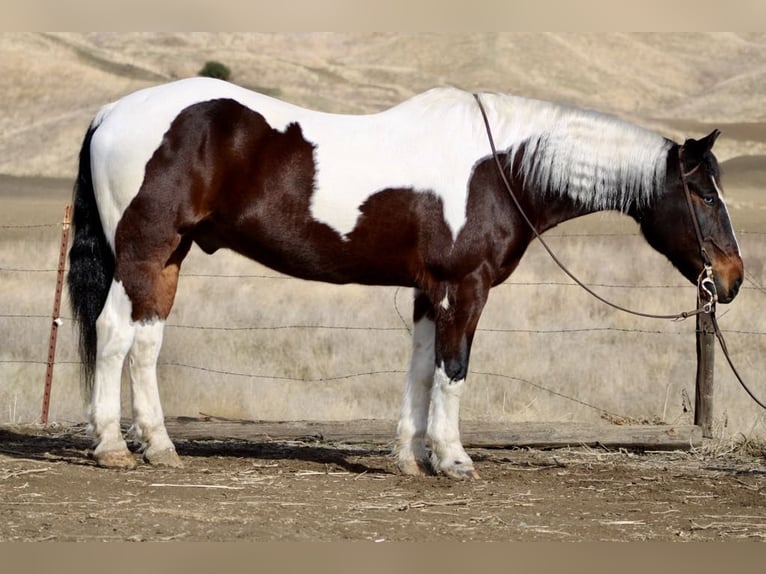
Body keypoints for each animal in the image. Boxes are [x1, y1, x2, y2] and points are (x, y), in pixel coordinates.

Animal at [67, 77, 744, 479]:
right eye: (705, 195)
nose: (733, 278)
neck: (498, 169)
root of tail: (109, 112)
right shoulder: (465, 287)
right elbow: (454, 370)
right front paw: (453, 459)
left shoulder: (429, 290)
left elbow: (421, 369)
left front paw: (409, 458)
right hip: (144, 252)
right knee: (114, 334)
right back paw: (113, 448)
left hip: (167, 260)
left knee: (146, 341)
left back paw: (157, 446)